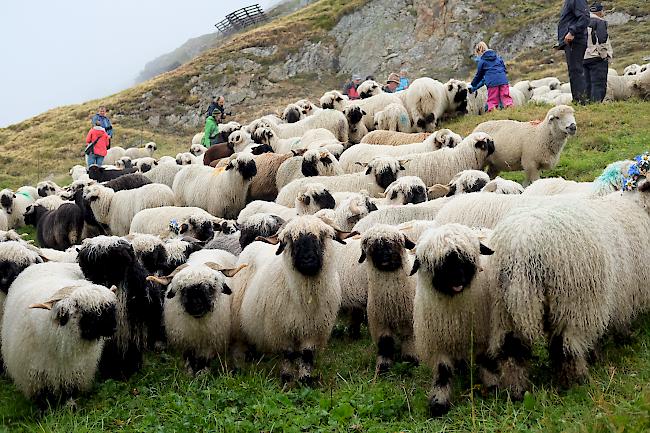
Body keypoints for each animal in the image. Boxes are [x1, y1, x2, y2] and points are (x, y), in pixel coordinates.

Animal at [228, 216, 350, 382]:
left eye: (321, 236)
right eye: (291, 239)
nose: (307, 260)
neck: (305, 296)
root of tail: (254, 243)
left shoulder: (312, 329)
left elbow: (306, 355)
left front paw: (305, 379)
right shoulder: (282, 329)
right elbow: (288, 354)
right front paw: (286, 378)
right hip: (238, 318)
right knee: (239, 344)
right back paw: (240, 366)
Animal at [356, 223, 418, 372]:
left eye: (396, 241)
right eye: (372, 245)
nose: (385, 255)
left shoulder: (409, 320)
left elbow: (409, 340)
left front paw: (410, 361)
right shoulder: (380, 322)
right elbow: (385, 343)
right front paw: (383, 367)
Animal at [410, 223, 496, 416]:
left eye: (465, 258)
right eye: (439, 263)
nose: (458, 278)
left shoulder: (482, 334)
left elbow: (485, 360)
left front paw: (491, 385)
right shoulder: (439, 341)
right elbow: (443, 371)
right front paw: (439, 402)